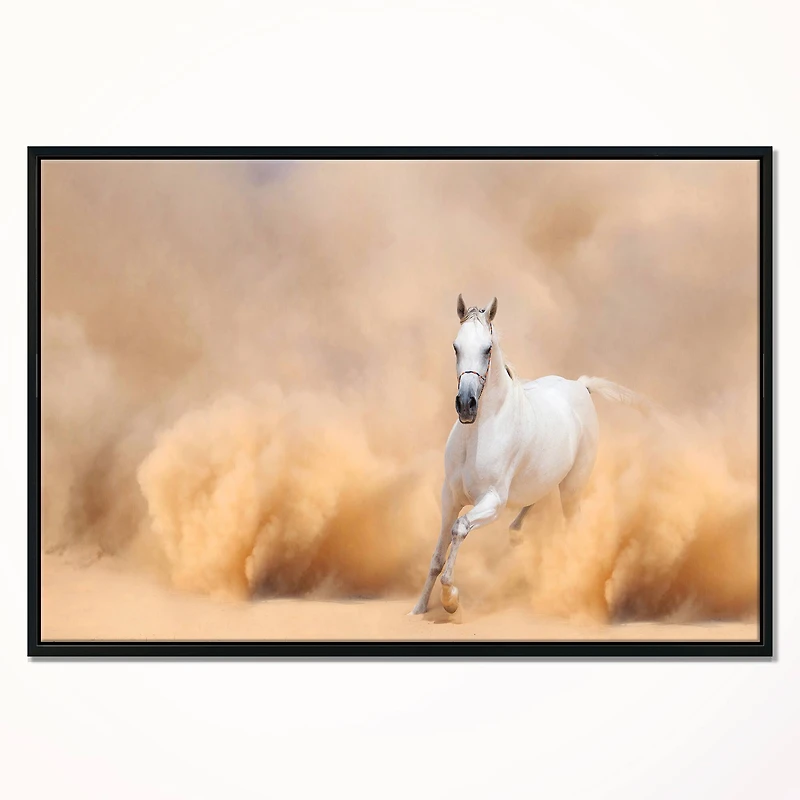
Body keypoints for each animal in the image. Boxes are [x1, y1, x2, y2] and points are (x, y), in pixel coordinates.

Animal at [410, 294, 649, 615]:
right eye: (455, 346)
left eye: (487, 348)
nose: (466, 405)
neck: (477, 434)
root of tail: (581, 386)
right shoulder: (450, 497)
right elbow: (437, 557)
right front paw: (419, 608)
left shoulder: (492, 502)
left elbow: (459, 529)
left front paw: (451, 599)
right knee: (532, 504)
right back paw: (517, 534)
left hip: (571, 489)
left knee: (572, 529)